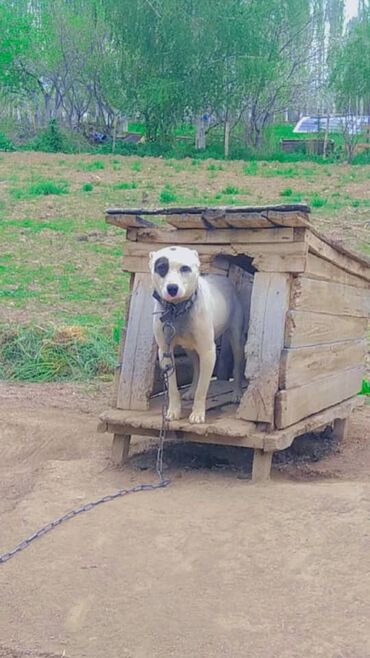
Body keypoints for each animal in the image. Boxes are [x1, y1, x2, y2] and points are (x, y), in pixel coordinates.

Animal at [149, 243, 244, 422]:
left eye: (185, 268)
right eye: (161, 267)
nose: (172, 288)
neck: (178, 310)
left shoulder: (208, 352)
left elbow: (203, 388)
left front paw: (198, 414)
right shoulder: (165, 352)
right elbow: (172, 387)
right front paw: (173, 411)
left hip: (236, 340)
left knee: (237, 366)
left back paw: (237, 393)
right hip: (189, 348)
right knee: (197, 367)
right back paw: (191, 391)